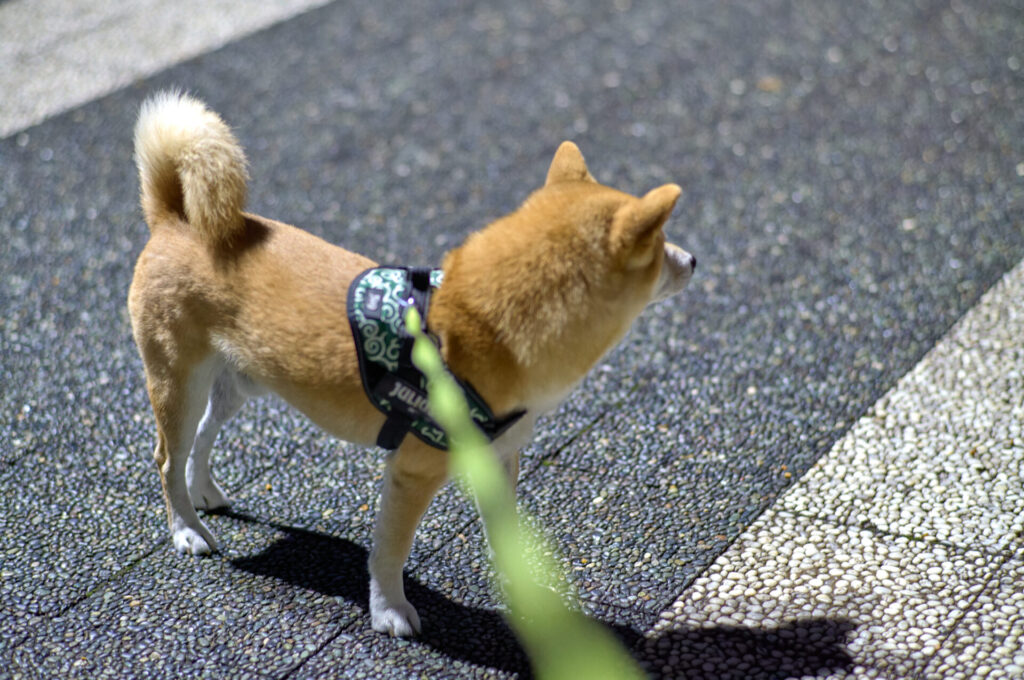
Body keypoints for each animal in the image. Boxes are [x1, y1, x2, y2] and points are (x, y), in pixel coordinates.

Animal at [128, 91, 696, 639]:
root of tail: (174, 220)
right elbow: (390, 552)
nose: (693, 260)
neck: (488, 329)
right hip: (179, 383)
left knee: (200, 440)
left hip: (236, 385)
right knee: (166, 459)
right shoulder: (412, 472)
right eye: (661, 245)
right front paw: (390, 612)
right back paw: (187, 530)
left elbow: (505, 534)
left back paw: (204, 492)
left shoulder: (499, 459)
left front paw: (521, 590)